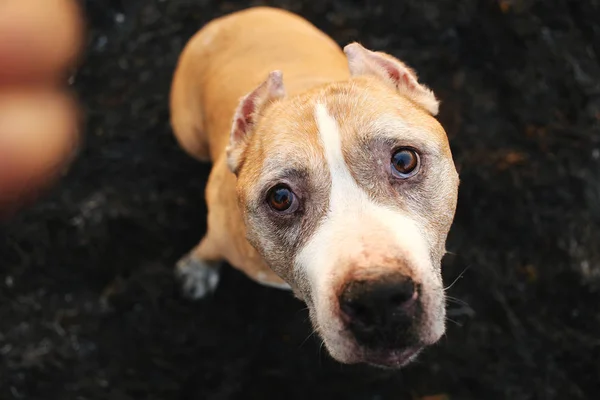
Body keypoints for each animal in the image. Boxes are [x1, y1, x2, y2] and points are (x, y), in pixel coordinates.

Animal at [169, 7, 460, 368]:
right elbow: (210, 246)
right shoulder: (221, 226)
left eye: (405, 160)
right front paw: (197, 269)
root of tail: (235, 15)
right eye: (280, 197)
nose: (378, 298)